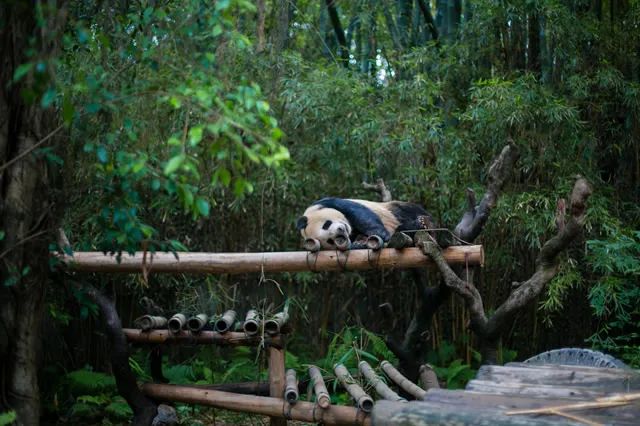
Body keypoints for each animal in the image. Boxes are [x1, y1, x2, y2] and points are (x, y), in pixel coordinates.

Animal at [296, 197, 436, 250]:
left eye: (326, 224)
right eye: (330, 240)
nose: (341, 230)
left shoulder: (326, 202)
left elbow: (359, 213)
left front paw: (381, 233)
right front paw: (360, 242)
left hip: (394, 209)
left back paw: (422, 223)